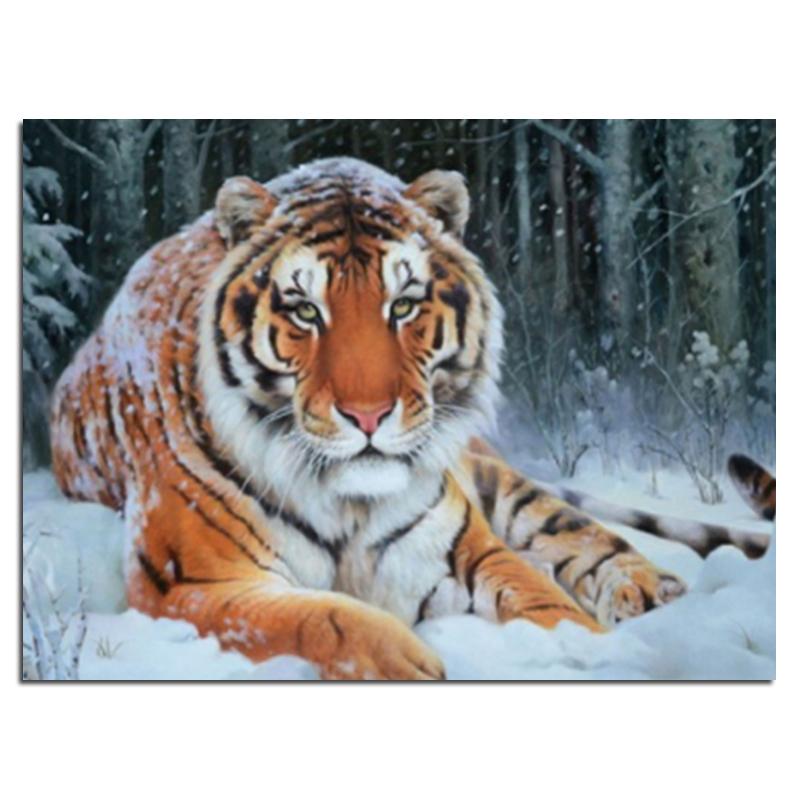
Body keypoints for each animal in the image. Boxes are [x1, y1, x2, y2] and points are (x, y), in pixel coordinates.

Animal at [53, 156, 696, 680]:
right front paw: (412, 664)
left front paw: (599, 652)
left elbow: (545, 601)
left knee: (573, 527)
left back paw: (649, 590)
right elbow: (320, 619)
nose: (369, 416)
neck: (348, 506)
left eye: (404, 305)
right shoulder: (192, 582)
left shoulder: (462, 549)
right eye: (305, 311)